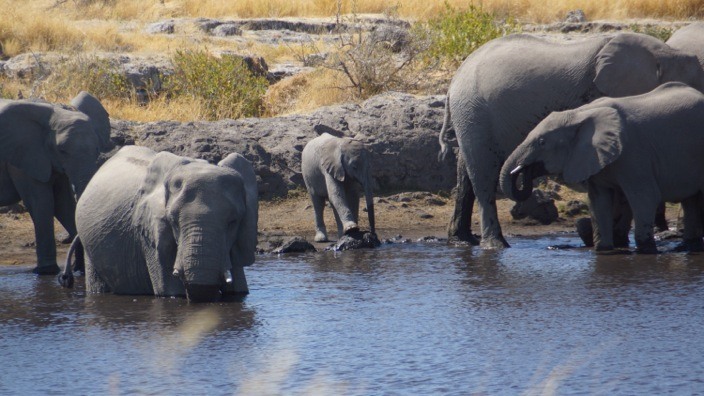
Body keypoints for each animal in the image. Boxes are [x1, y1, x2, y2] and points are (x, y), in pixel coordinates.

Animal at [0, 91, 110, 274]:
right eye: (62, 151)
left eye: (97, 149)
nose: (75, 268)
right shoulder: (23, 158)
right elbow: (42, 203)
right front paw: (47, 271)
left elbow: (63, 204)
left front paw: (79, 270)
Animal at [60, 147, 258, 302]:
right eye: (174, 222)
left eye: (233, 223)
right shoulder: (150, 235)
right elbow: (170, 291)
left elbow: (239, 290)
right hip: (89, 244)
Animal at [498, 83, 704, 254]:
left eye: (541, 142)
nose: (523, 171)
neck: (578, 114)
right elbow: (598, 202)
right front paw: (603, 251)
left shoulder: (634, 154)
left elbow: (645, 197)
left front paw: (646, 251)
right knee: (690, 201)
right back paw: (688, 246)